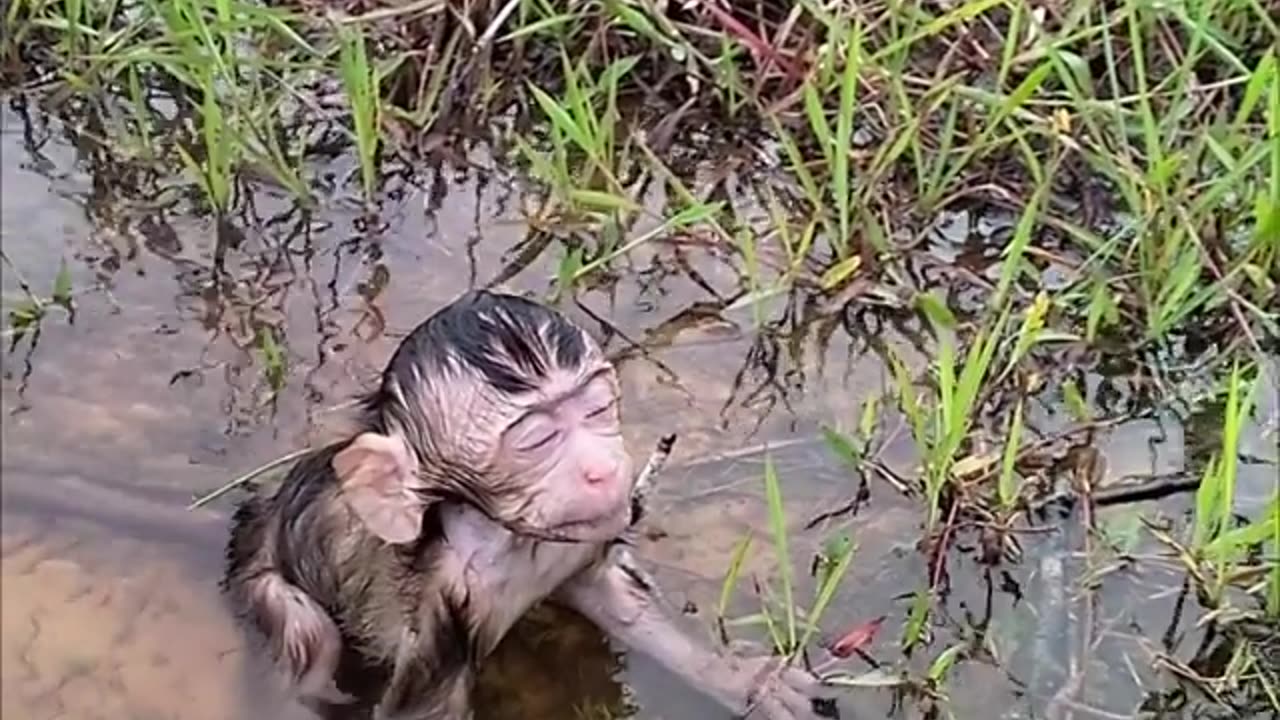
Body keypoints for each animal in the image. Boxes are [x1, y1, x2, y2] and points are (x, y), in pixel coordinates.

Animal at [220, 288, 839, 712]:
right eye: (537, 440)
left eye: (597, 408)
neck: (500, 537)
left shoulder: (574, 538)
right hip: (265, 579)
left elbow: (612, 597)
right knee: (310, 640)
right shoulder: (440, 612)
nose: (601, 469)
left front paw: (750, 683)